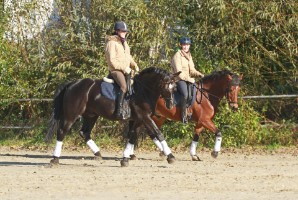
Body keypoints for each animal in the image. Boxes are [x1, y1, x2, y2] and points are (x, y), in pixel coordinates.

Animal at [44, 67, 179, 166]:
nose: (170, 105)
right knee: (62, 131)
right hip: (71, 115)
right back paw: (55, 159)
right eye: (165, 85)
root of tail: (73, 83)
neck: (143, 91)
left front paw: (125, 159)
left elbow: (132, 136)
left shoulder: (138, 119)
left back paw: (98, 154)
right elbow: (157, 133)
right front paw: (170, 156)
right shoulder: (144, 116)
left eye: (174, 88)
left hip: (91, 115)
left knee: (84, 132)